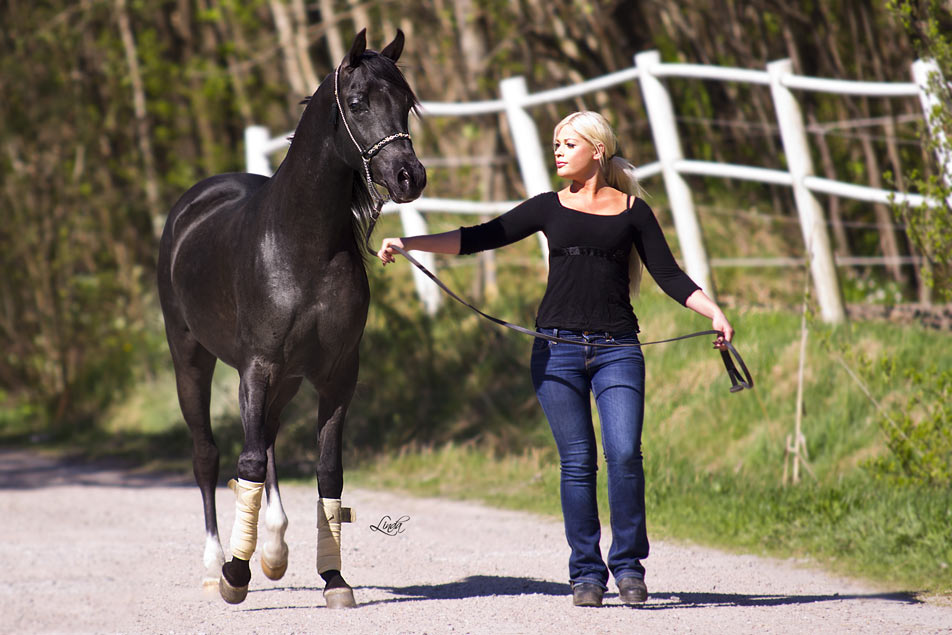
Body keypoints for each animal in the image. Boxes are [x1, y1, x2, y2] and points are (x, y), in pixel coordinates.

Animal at [157, 32, 424, 608]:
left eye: (407, 102)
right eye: (357, 102)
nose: (409, 177)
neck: (302, 246)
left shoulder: (338, 375)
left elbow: (327, 471)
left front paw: (334, 580)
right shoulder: (256, 368)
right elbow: (247, 462)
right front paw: (236, 575)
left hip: (287, 379)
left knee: (269, 439)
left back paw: (275, 550)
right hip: (192, 359)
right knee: (210, 455)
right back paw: (215, 565)